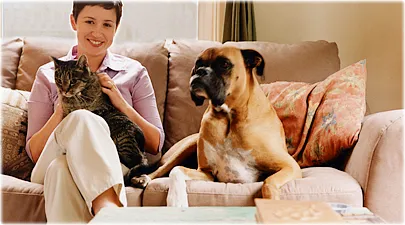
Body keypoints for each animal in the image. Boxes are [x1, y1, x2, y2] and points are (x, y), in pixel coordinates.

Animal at [52, 54, 154, 186]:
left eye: (73, 81)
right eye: (59, 80)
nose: (64, 91)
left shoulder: (100, 109)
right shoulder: (65, 113)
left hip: (124, 140)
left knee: (134, 161)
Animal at [133, 46, 300, 207]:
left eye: (224, 64)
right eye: (198, 64)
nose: (200, 71)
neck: (228, 118)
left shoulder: (290, 166)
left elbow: (268, 182)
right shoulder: (207, 173)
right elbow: (176, 170)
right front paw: (176, 199)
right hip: (188, 145)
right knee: (162, 169)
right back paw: (143, 178)